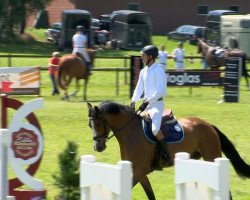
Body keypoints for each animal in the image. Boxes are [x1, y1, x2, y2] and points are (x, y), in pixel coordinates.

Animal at [87, 101, 250, 200]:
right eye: (90, 125)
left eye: (99, 123)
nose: (98, 147)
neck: (131, 131)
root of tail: (209, 125)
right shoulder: (139, 173)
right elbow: (150, 194)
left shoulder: (139, 171)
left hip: (211, 157)